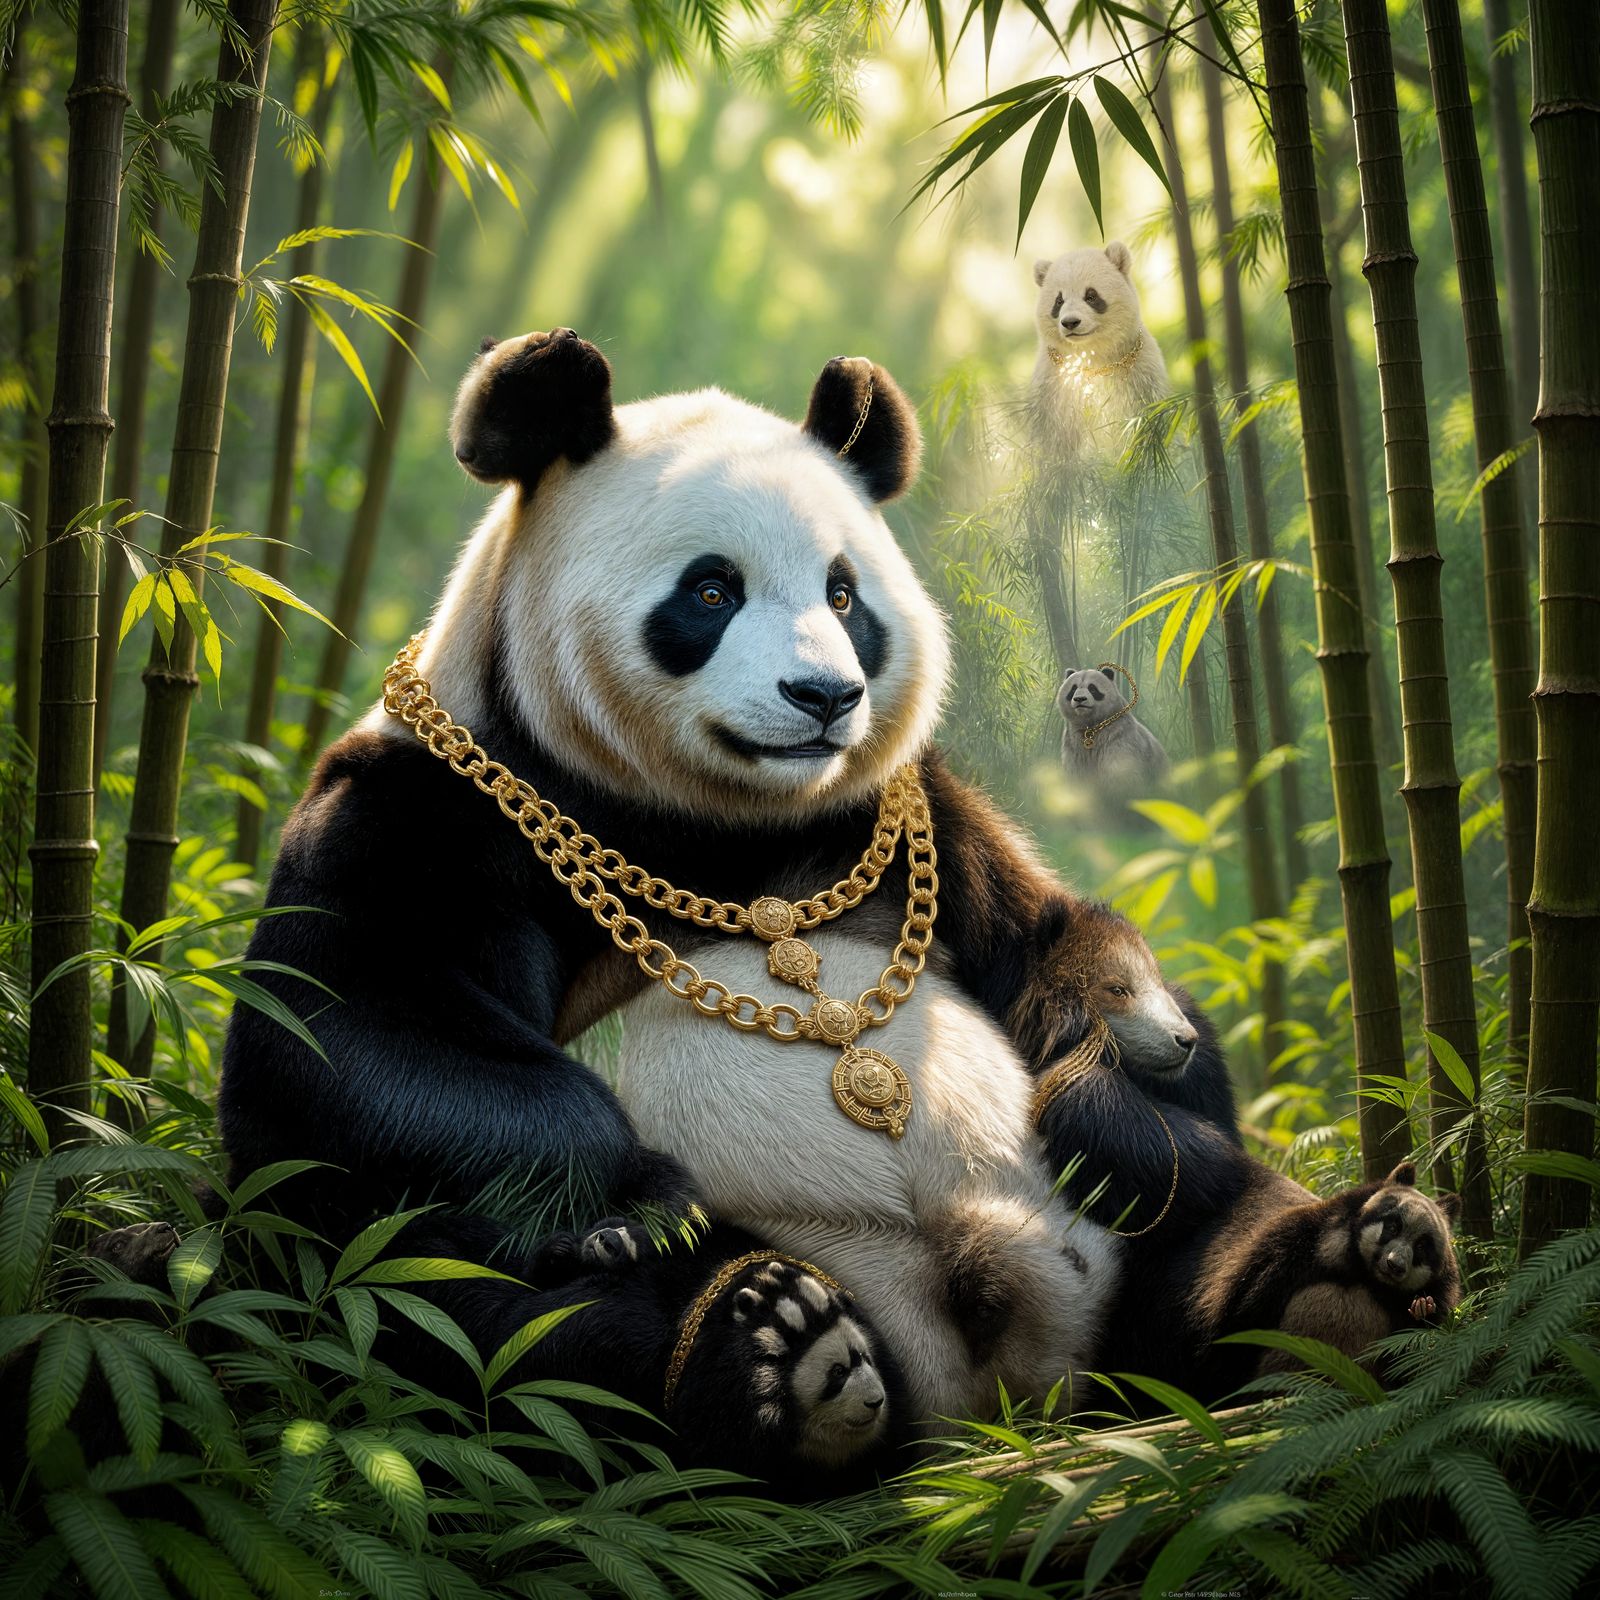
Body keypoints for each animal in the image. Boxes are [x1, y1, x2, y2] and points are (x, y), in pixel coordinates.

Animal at [218, 327, 1148, 1474]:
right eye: (711, 592)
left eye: (845, 596)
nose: (823, 696)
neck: (706, 822)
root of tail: (984, 1399)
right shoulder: (427, 808)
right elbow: (349, 1034)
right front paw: (631, 1204)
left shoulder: (901, 810)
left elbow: (1041, 940)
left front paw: (1120, 1081)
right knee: (467, 1308)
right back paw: (772, 1355)